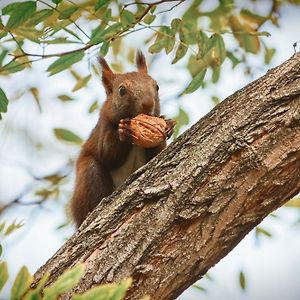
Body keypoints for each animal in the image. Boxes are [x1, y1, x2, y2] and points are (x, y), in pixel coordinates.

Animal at [70, 51, 173, 227]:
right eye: (122, 90)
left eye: (157, 86)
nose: (148, 104)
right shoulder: (104, 128)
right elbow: (108, 156)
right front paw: (123, 132)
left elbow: (157, 153)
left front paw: (168, 124)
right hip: (88, 178)